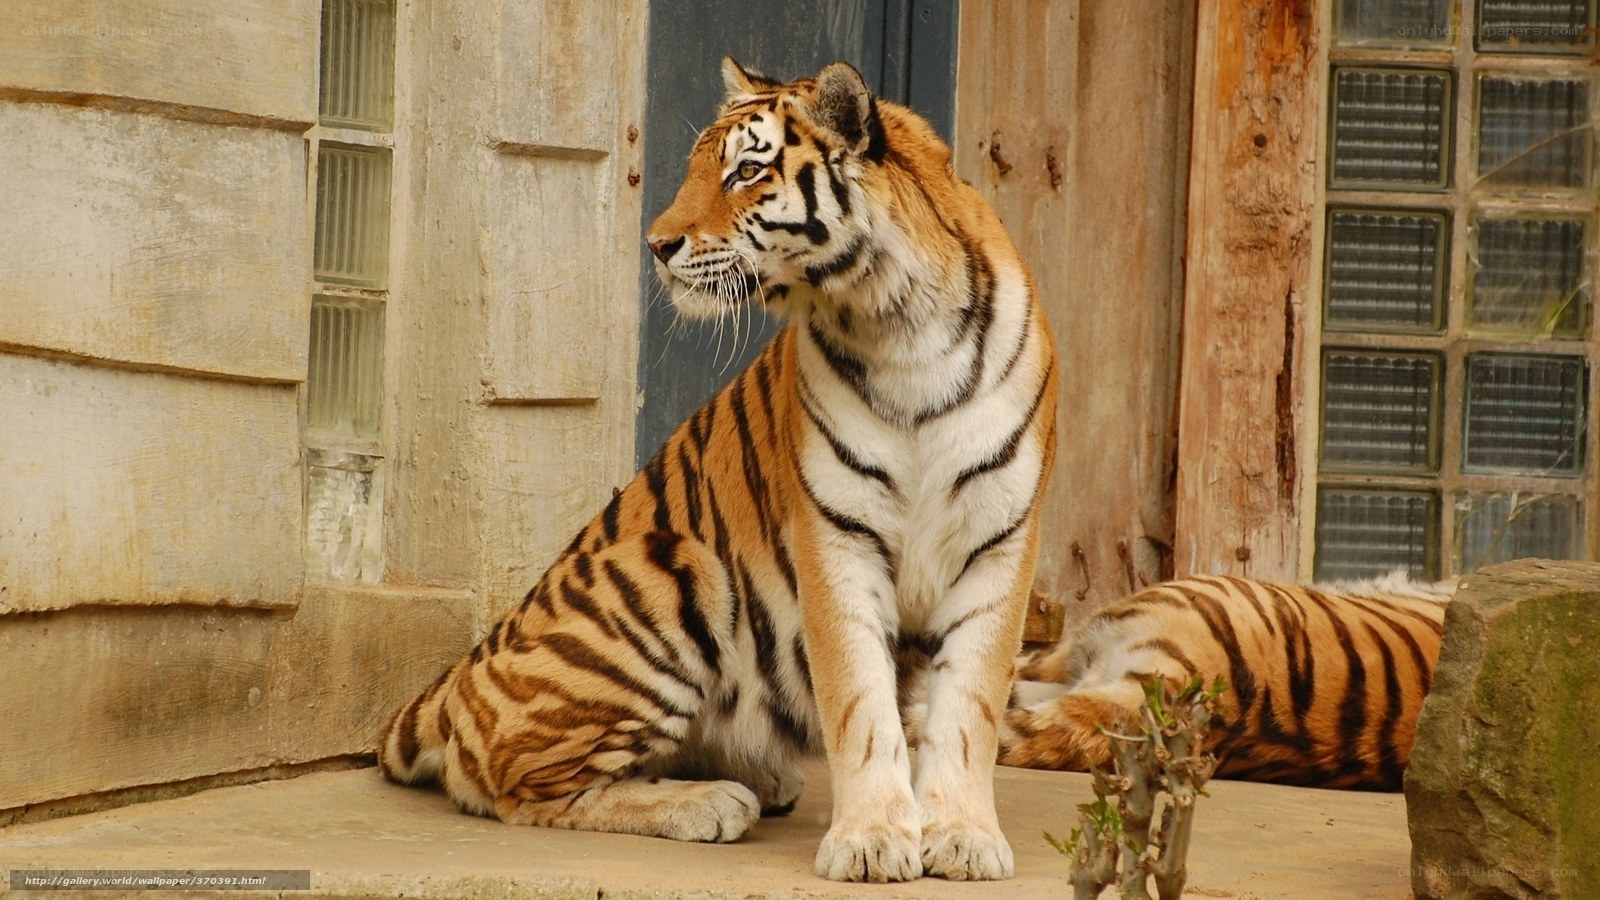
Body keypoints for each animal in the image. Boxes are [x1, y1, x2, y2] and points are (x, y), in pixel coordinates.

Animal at [379, 57, 1058, 884]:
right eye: (699, 167)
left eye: (746, 171)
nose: (656, 244)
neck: (898, 321)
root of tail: (459, 675)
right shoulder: (836, 538)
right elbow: (862, 703)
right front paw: (870, 841)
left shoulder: (999, 540)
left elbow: (969, 707)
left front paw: (959, 836)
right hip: (671, 568)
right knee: (516, 785)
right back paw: (708, 802)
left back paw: (753, 778)